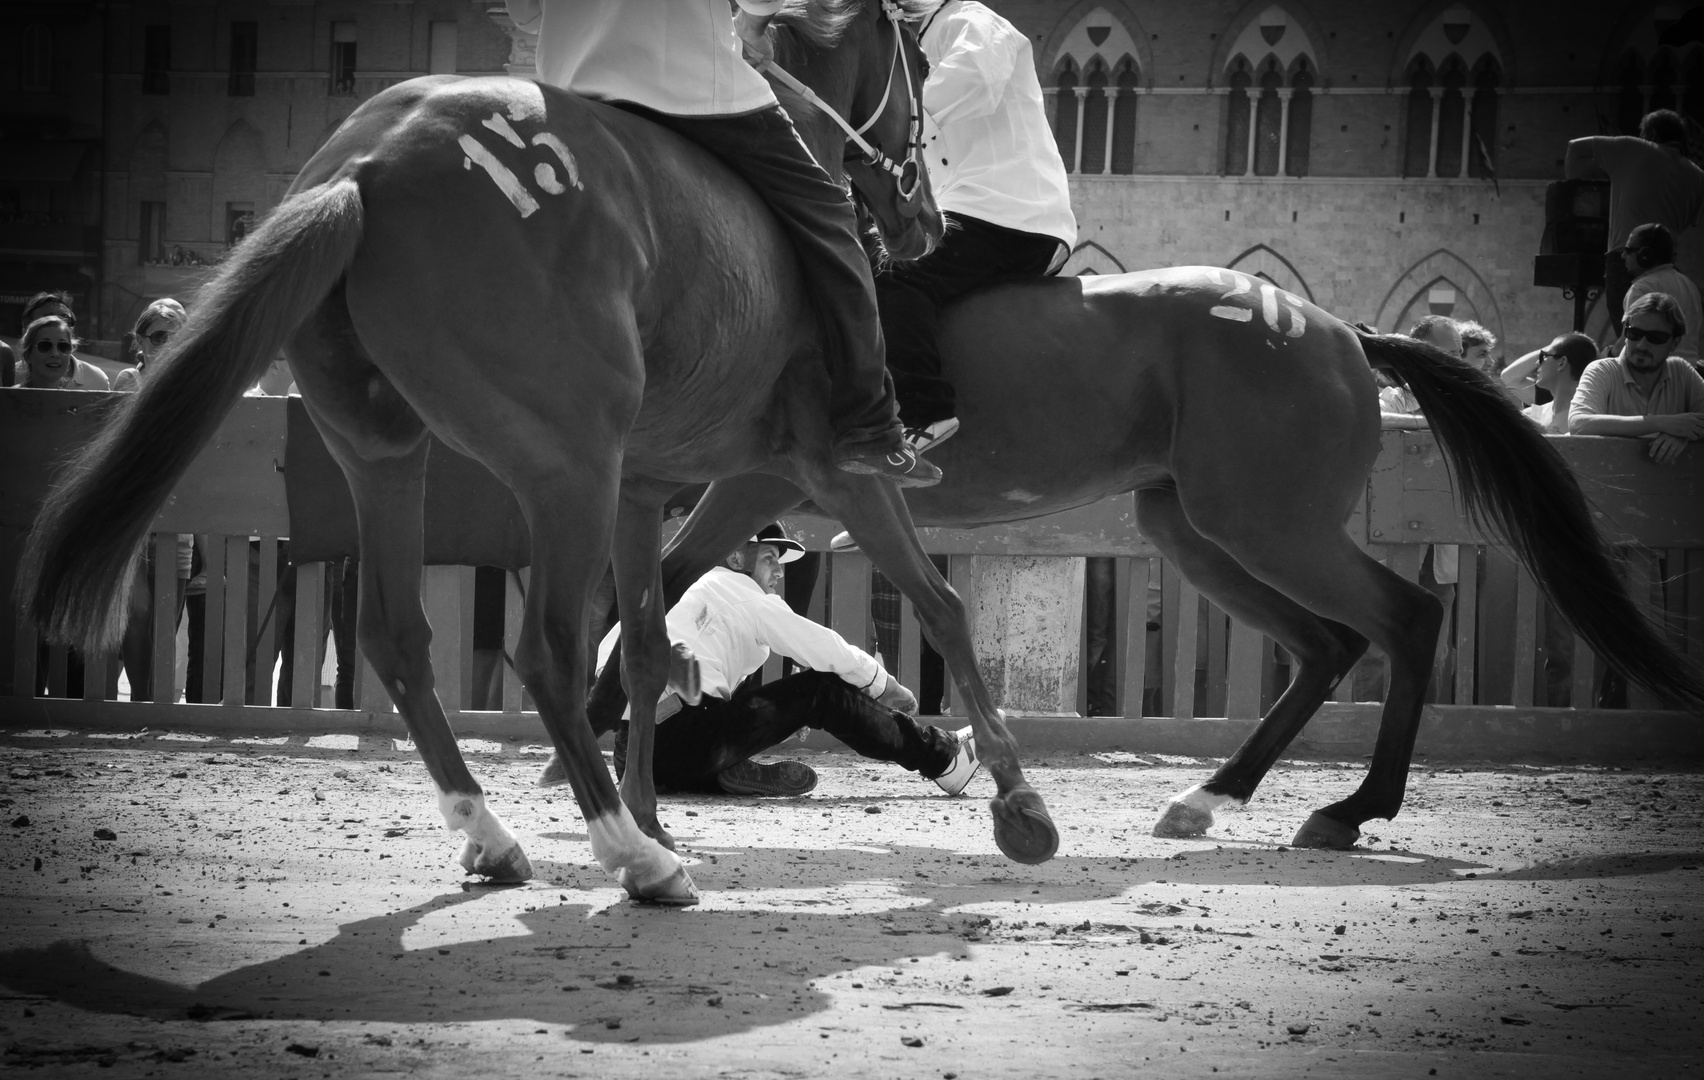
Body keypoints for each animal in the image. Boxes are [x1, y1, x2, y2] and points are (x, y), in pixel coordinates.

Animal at [16, 2, 1063, 899]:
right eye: (920, 64)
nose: (928, 219)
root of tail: (367, 164)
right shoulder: (822, 467)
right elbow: (941, 606)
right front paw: (1018, 800)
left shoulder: (646, 488)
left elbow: (646, 645)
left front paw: (653, 804)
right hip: (568, 472)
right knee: (543, 647)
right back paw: (632, 859)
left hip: (386, 455)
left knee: (397, 635)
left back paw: (500, 836)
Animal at [630, 265, 1704, 844]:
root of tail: (1339, 332)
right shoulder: (750, 485)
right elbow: (666, 587)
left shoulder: (809, 479)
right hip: (1194, 528)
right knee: (1326, 645)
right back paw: (1212, 794)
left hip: (1267, 521)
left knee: (1408, 616)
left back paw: (1353, 807)